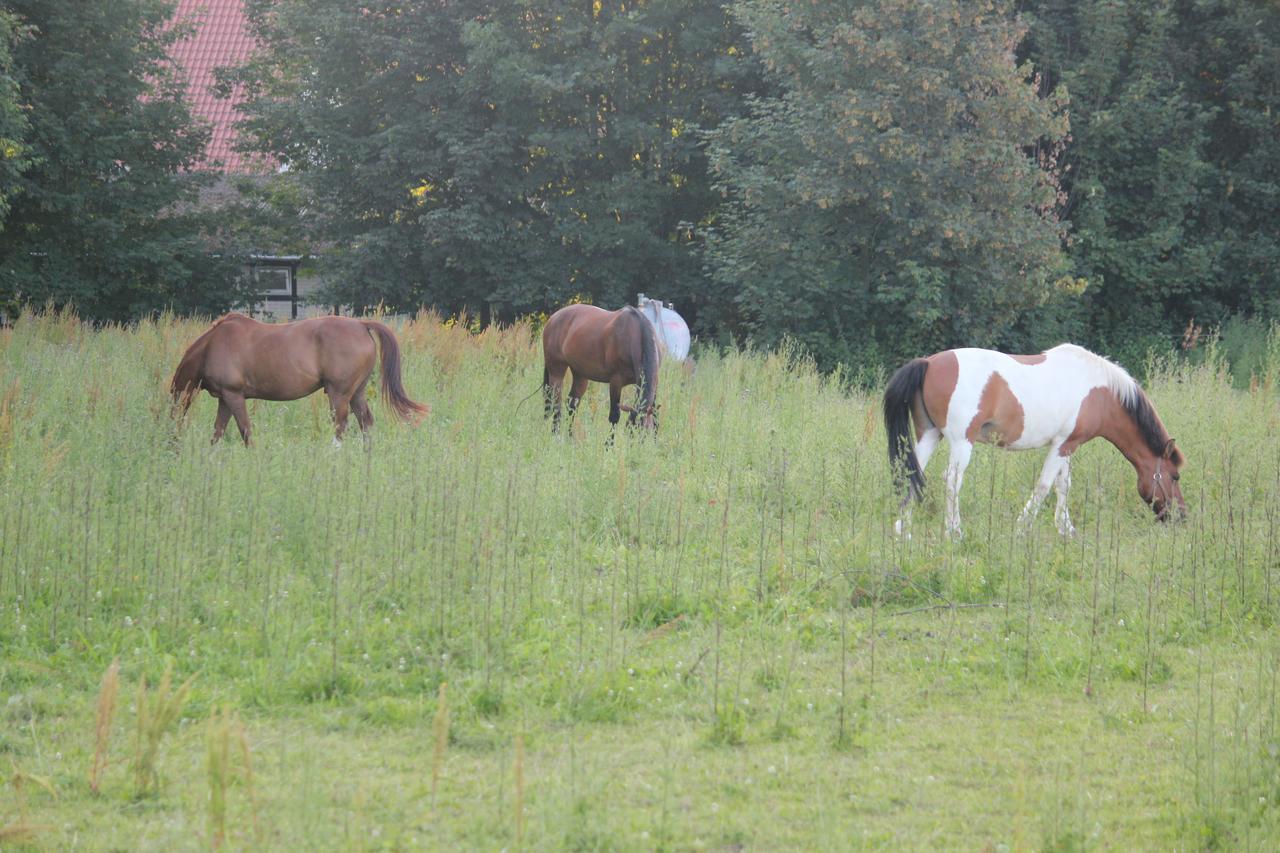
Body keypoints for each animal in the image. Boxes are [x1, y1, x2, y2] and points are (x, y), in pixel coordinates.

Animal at [167, 312, 430, 445]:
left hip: (339, 394)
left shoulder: (234, 396)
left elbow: (245, 431)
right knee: (365, 422)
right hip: (357, 393)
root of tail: (360, 324)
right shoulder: (225, 399)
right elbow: (217, 434)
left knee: (340, 425)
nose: (172, 441)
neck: (213, 345)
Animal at [540, 300, 660, 432]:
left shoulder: (654, 383)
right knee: (555, 403)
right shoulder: (616, 382)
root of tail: (553, 318)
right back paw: (555, 433)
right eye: (630, 431)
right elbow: (614, 416)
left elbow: (655, 416)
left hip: (580, 374)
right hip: (556, 370)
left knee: (572, 405)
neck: (634, 333)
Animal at [885, 343, 1182, 535]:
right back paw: (954, 530)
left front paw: (1066, 528)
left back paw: (902, 528)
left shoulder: (1067, 445)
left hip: (929, 434)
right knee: (952, 480)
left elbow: (1063, 485)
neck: (1100, 392)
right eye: (1175, 476)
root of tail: (928, 362)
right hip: (961, 442)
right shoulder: (1063, 445)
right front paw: (1023, 526)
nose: (1180, 516)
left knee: (912, 474)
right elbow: (1044, 485)